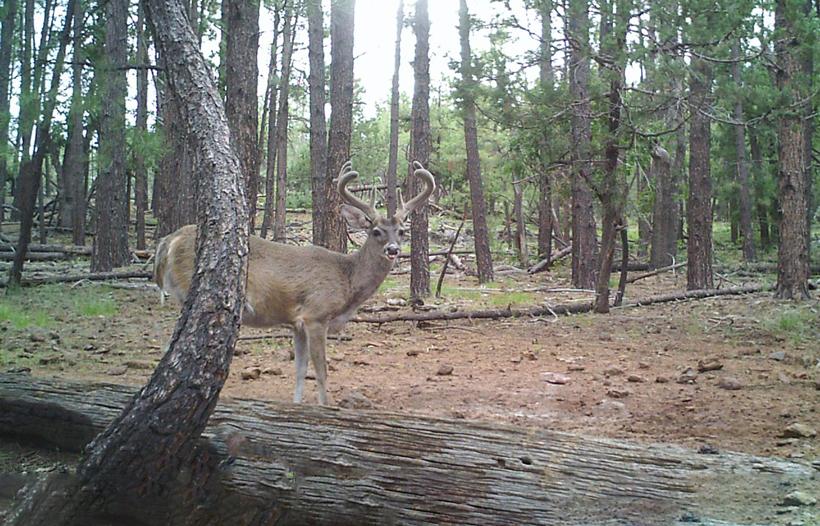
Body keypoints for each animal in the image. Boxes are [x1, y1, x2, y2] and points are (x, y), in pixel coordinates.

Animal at [153, 161, 436, 405]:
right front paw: (324, 407)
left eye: (401, 231)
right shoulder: (316, 315)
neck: (347, 279)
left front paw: (297, 405)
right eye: (375, 231)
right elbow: (321, 371)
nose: (393, 250)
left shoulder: (297, 323)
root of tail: (169, 241)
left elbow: (300, 370)